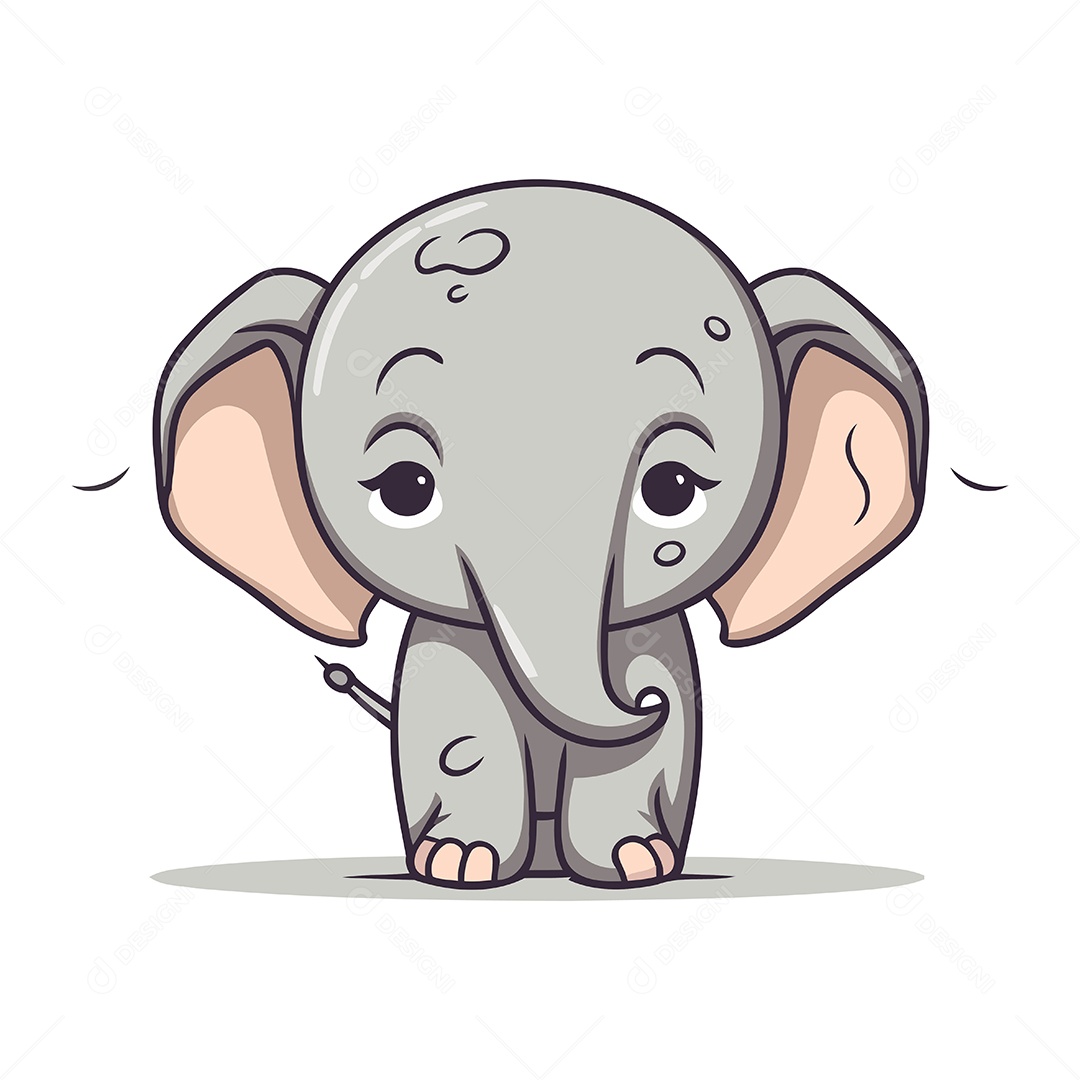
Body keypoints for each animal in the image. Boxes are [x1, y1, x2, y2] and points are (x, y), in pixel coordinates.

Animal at [154, 180, 927, 889]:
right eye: (406, 490)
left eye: (672, 488)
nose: (642, 704)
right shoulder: (446, 656)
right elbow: (462, 734)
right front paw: (460, 865)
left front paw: (632, 864)